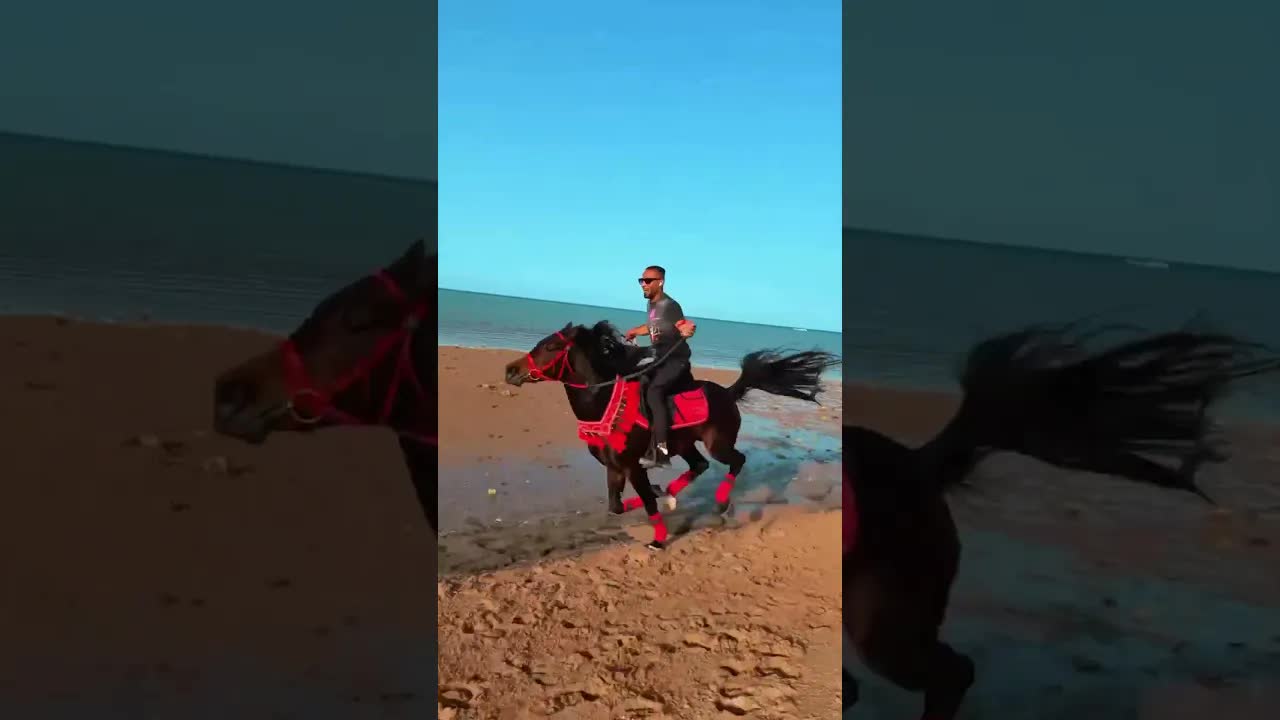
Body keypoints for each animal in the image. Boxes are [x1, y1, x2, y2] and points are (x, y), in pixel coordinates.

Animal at [503, 320, 840, 549]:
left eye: (550, 347)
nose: (510, 370)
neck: (605, 404)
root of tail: (729, 392)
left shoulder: (632, 465)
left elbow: (647, 503)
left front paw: (658, 538)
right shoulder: (615, 468)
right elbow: (616, 506)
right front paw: (660, 494)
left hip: (718, 443)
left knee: (736, 461)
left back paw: (720, 503)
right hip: (685, 444)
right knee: (700, 465)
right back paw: (673, 494)